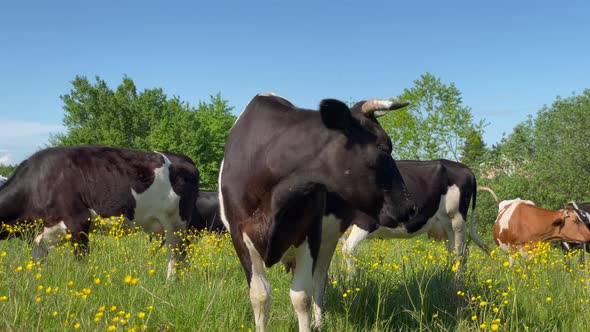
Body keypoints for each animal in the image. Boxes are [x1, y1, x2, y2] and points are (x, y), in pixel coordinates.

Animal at [0, 145, 200, 278]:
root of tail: (185, 159)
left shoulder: (78, 223)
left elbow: (82, 261)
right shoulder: (41, 236)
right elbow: (36, 264)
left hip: (176, 224)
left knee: (176, 255)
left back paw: (171, 283)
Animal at [220, 93, 418, 332]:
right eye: (383, 147)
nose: (410, 206)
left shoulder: (310, 232)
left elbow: (302, 296)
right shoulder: (239, 236)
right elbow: (260, 296)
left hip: (329, 239)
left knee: (319, 280)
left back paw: (318, 321)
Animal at [342, 160, 490, 272]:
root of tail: (464, 168)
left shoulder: (366, 222)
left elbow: (348, 250)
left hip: (457, 220)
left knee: (460, 253)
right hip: (447, 226)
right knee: (455, 251)